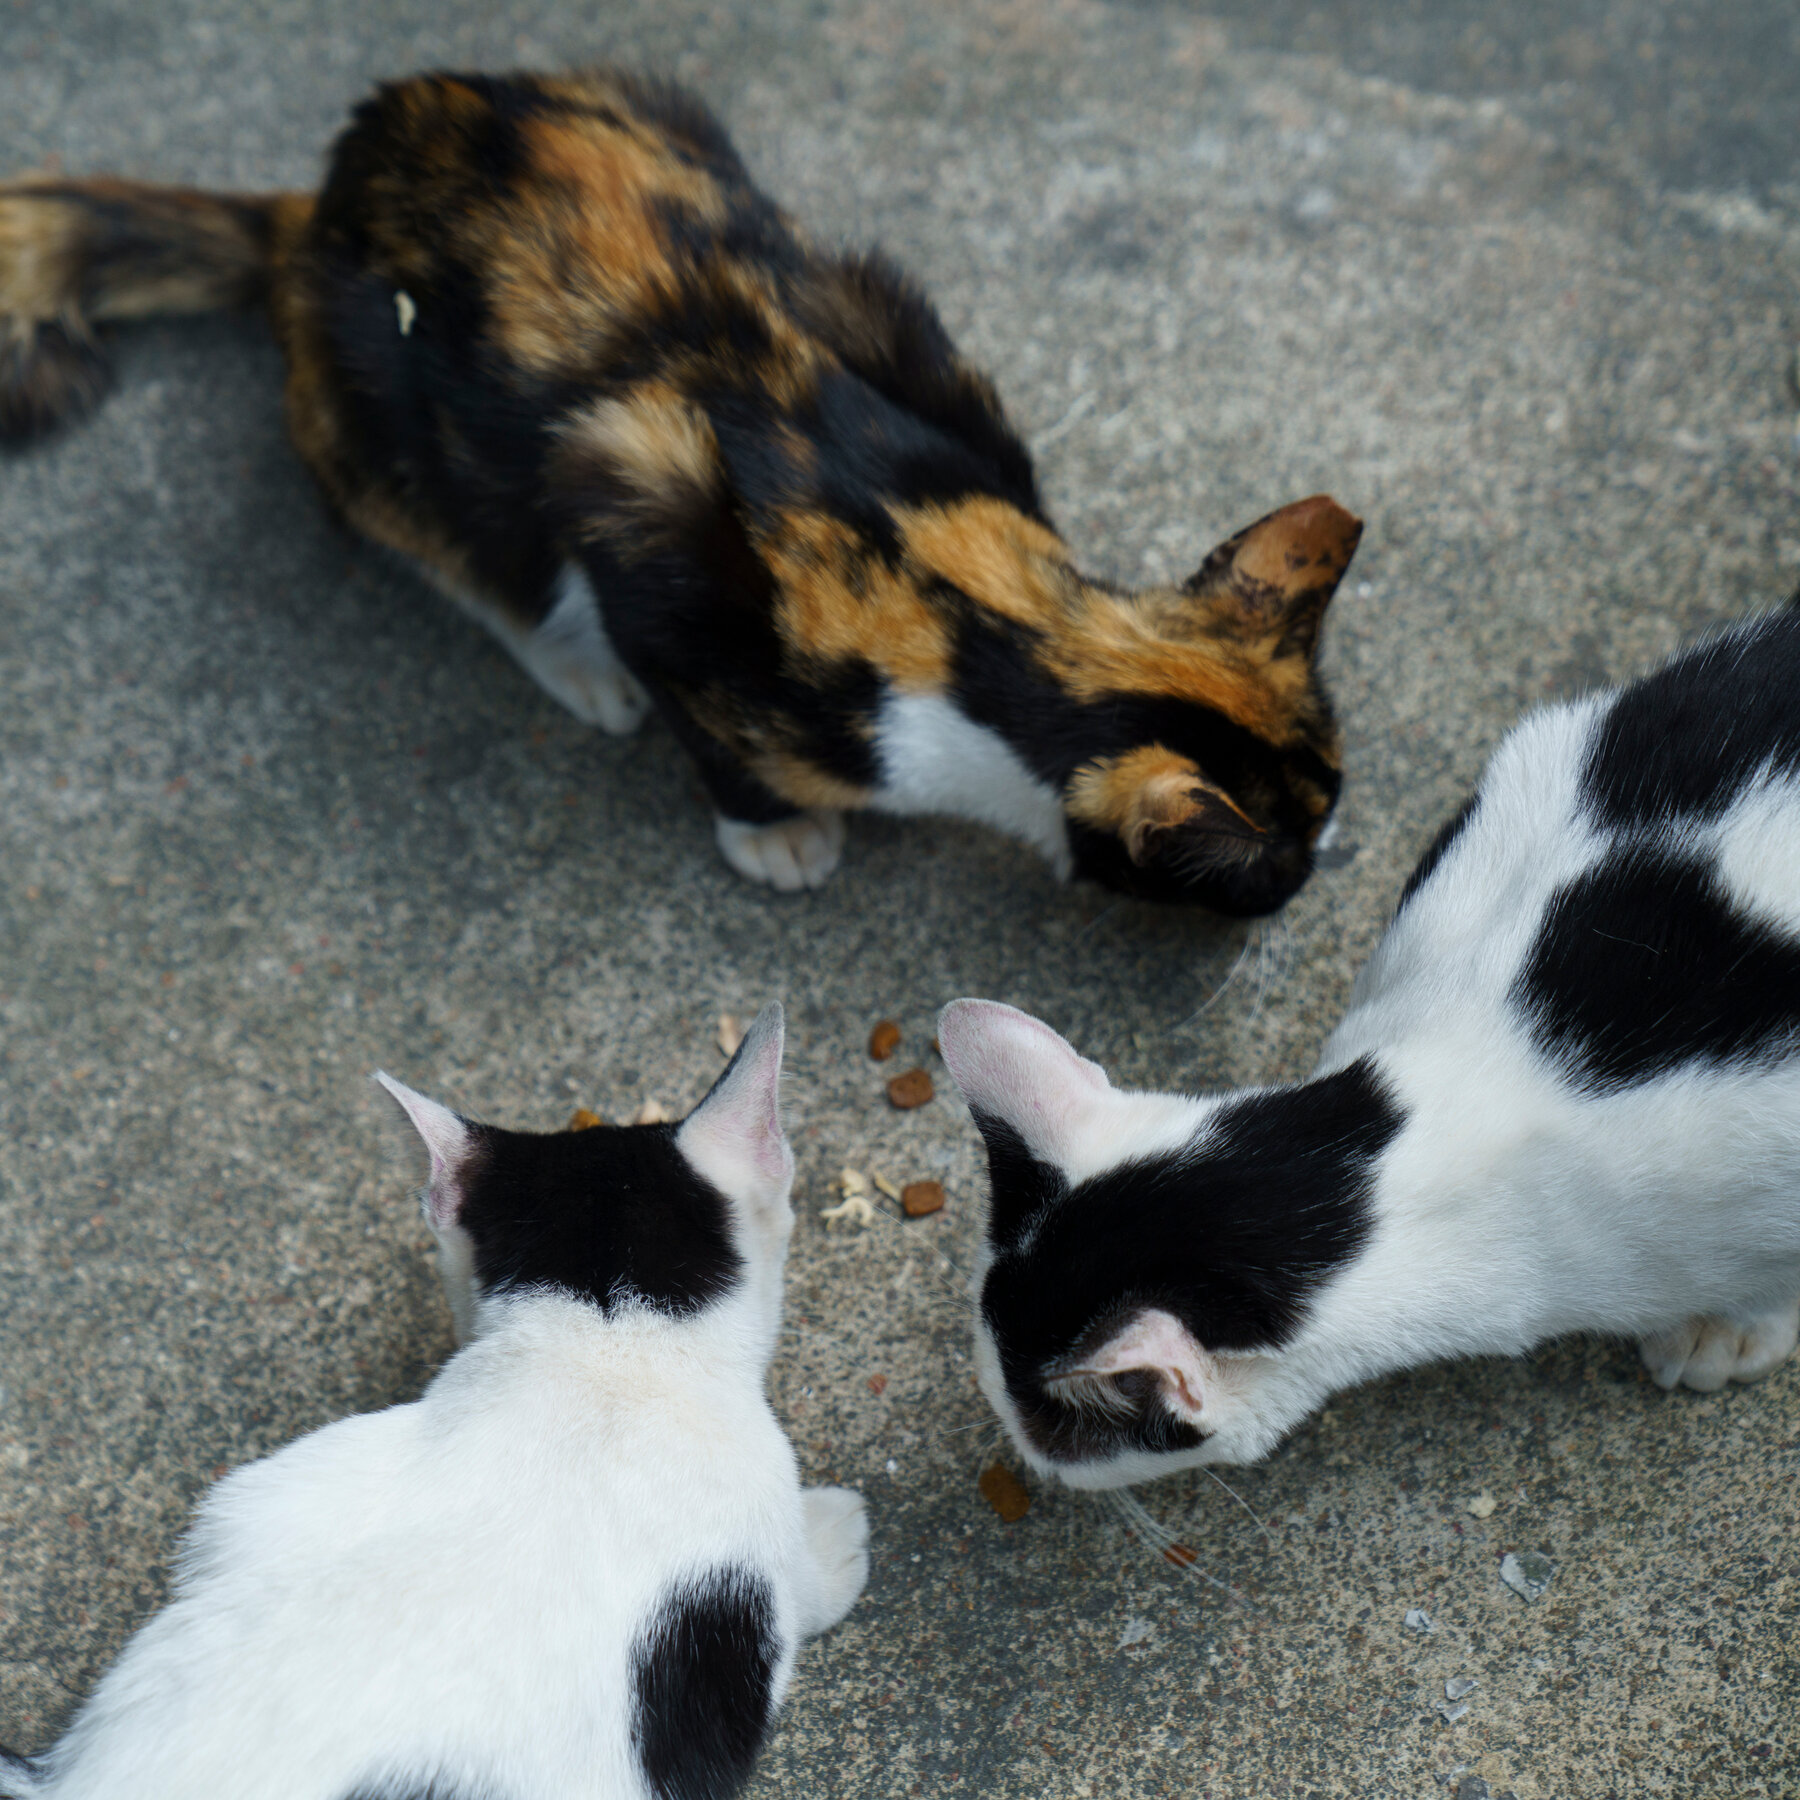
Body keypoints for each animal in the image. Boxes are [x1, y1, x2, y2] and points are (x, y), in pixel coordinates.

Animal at [0, 66, 1353, 914]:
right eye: (1278, 864)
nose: (1331, 862)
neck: (999, 623)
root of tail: (318, 199)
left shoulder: (906, 343)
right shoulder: (650, 528)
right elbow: (703, 709)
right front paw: (775, 830)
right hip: (386, 418)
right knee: (463, 551)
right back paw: (576, 667)